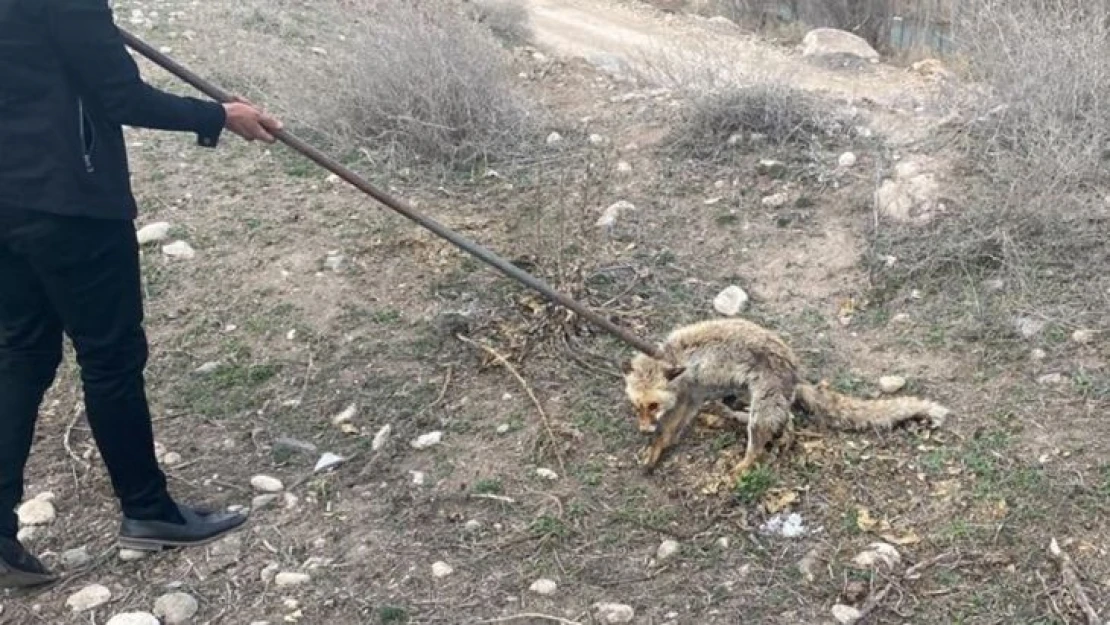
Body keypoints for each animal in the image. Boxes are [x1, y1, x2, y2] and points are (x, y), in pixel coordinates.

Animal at [621, 319, 950, 481]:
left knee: (758, 445)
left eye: (653, 405)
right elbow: (667, 433)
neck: (680, 358)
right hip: (751, 398)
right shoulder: (692, 397)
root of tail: (796, 371)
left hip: (761, 410)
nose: (641, 428)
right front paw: (654, 452)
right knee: (784, 419)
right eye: (638, 407)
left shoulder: (691, 393)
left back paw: (741, 468)